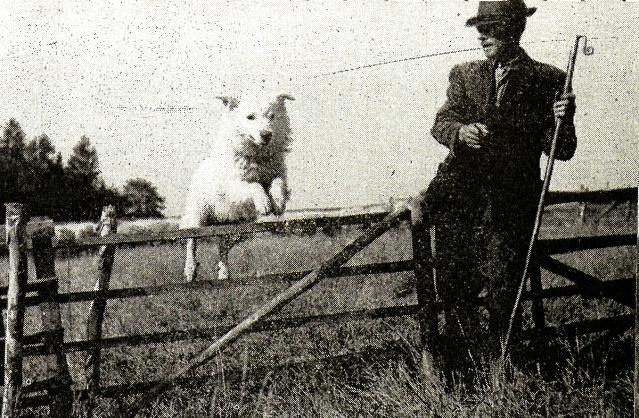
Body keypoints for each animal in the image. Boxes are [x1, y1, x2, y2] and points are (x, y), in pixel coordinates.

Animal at [180, 91, 296, 280]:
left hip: (236, 229)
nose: (267, 134)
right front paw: (264, 203)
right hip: (197, 216)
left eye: (271, 116)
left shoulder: (277, 174)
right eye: (250, 117)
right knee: (192, 241)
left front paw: (278, 203)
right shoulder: (233, 188)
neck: (257, 158)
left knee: (222, 248)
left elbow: (277, 182)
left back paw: (224, 274)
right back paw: (190, 270)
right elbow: (254, 185)